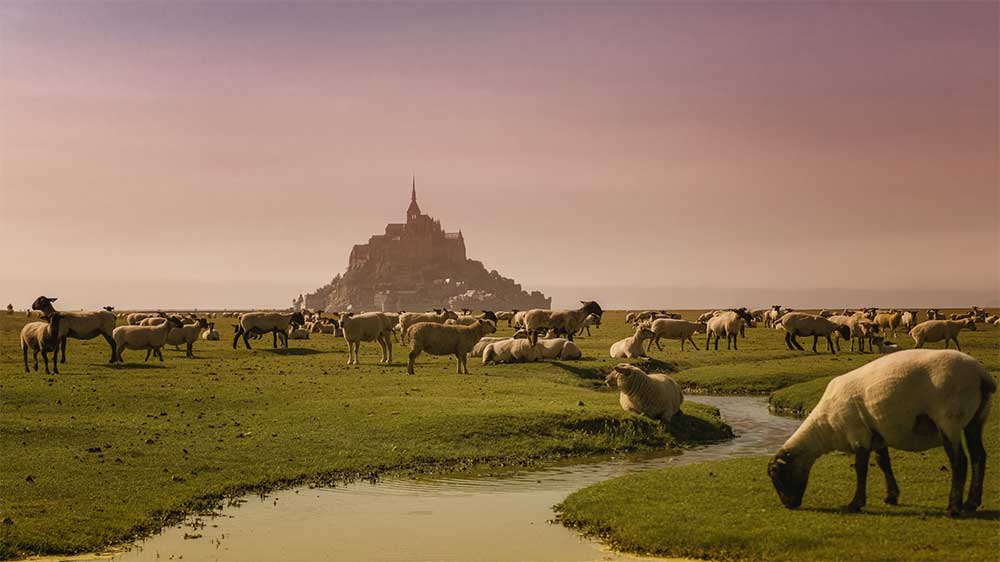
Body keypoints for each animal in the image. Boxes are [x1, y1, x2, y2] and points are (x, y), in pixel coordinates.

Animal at [764, 348, 992, 516]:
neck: (825, 427)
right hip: (976, 420)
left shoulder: (859, 434)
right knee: (979, 456)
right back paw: (971, 503)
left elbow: (860, 468)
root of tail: (982, 375)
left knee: (960, 461)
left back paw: (954, 507)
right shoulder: (877, 434)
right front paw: (892, 496)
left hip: (949, 420)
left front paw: (855, 504)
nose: (789, 505)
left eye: (775, 472)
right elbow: (883, 463)